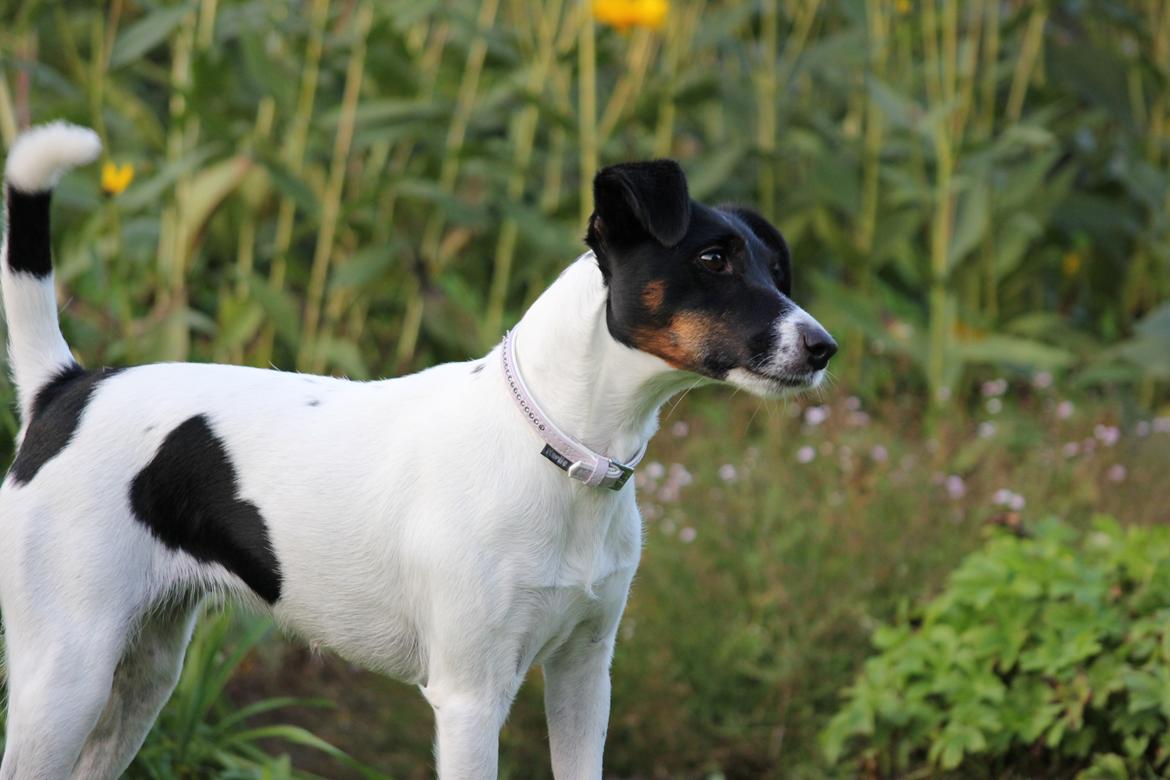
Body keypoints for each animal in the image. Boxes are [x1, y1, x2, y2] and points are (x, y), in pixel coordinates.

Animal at [2, 122, 842, 776]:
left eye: (776, 269)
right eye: (712, 260)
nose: (823, 347)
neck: (560, 452)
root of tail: (67, 388)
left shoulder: (582, 675)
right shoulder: (470, 700)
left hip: (143, 675)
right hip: (65, 676)